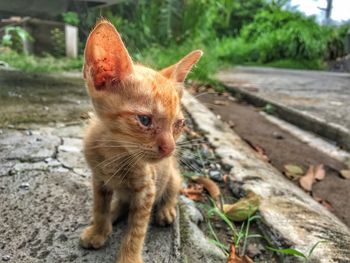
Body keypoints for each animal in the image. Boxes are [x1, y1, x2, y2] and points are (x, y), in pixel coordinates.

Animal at [77, 19, 201, 263]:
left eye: (179, 124)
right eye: (145, 120)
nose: (170, 149)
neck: (114, 152)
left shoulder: (147, 189)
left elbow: (136, 230)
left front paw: (129, 257)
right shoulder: (99, 179)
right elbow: (99, 207)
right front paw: (99, 230)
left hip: (171, 176)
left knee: (173, 190)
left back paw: (165, 210)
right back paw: (114, 213)